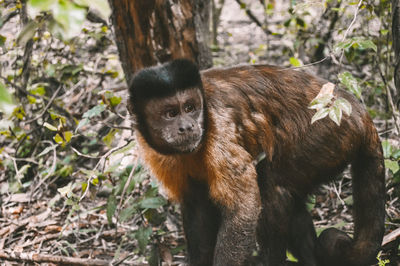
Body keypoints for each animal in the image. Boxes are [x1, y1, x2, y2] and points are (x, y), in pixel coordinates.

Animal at [127, 59, 384, 266]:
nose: (188, 126)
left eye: (190, 108)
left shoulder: (218, 126)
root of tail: (360, 113)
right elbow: (196, 205)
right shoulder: (155, 151)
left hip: (329, 132)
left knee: (273, 189)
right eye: (171, 113)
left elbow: (244, 210)